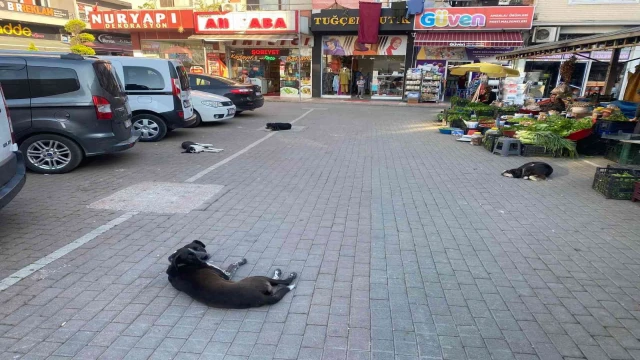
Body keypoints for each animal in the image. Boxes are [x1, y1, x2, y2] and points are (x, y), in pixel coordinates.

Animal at [164, 240, 296, 308]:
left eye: (198, 248)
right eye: (190, 256)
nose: (205, 256)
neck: (182, 265)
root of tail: (260, 298)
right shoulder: (226, 274)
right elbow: (233, 265)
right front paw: (241, 261)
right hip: (257, 278)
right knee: (282, 282)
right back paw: (288, 276)